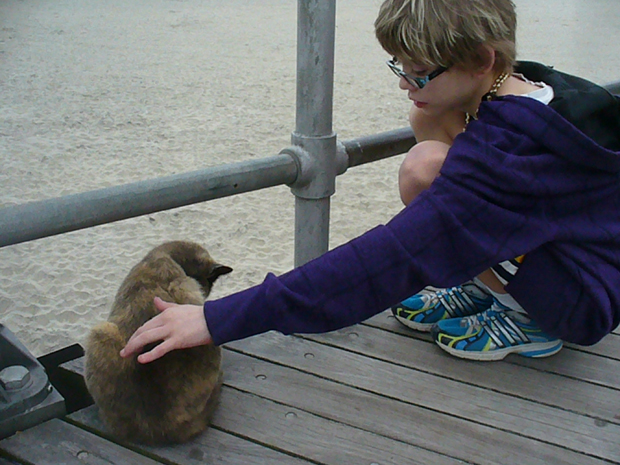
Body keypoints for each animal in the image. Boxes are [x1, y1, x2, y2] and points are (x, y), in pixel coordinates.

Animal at [83, 241, 231, 444]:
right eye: (208, 284)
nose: (206, 292)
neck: (169, 256)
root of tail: (156, 430)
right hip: (101, 332)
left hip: (100, 333)